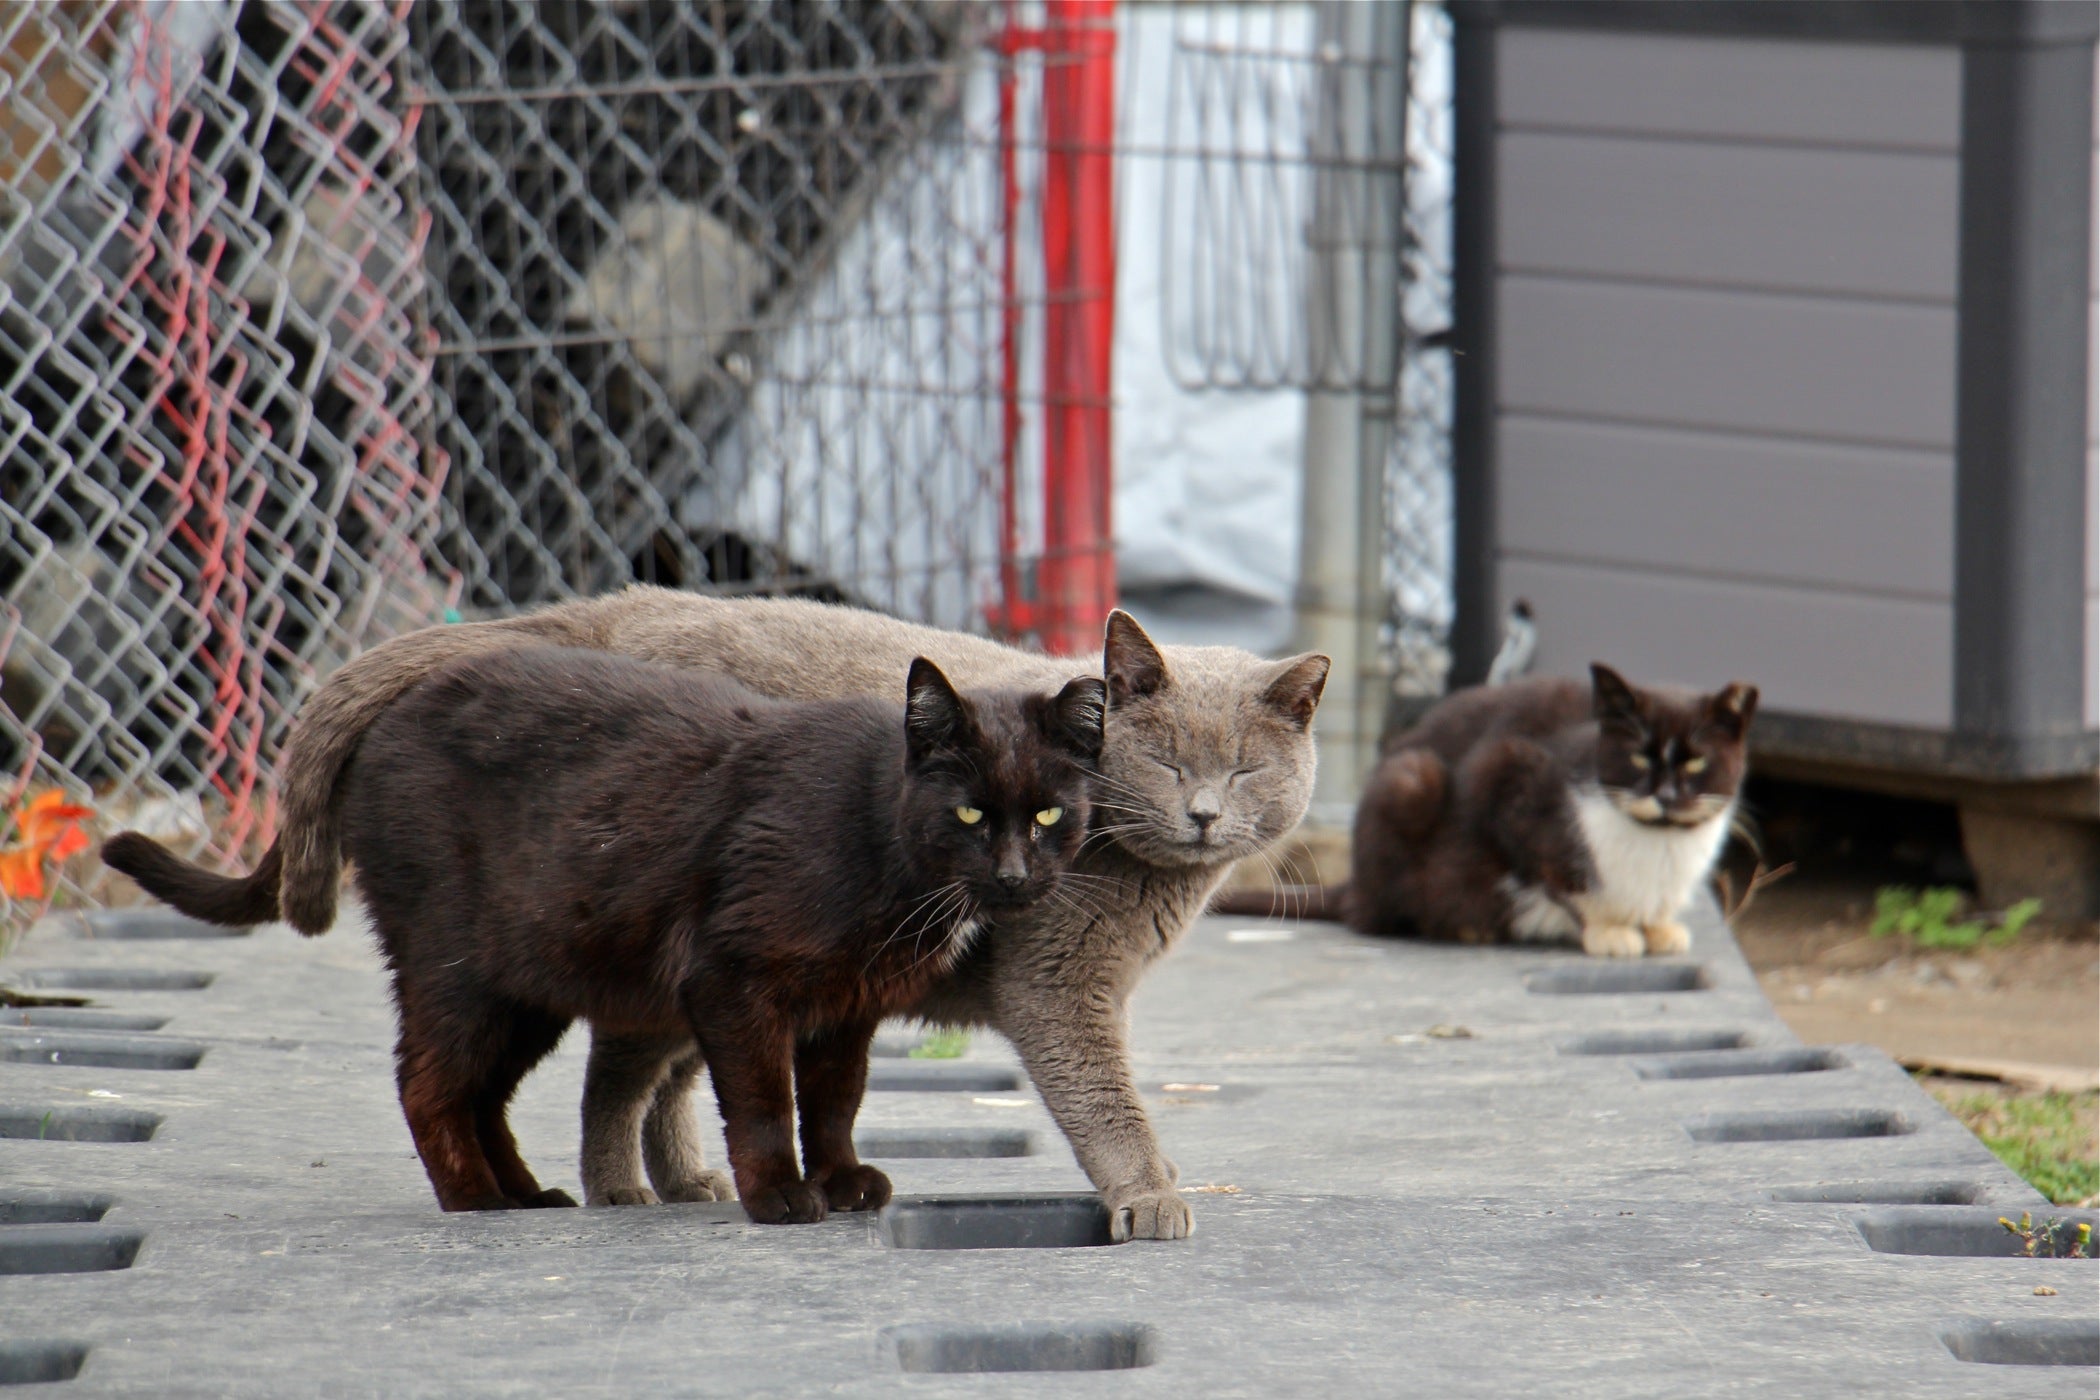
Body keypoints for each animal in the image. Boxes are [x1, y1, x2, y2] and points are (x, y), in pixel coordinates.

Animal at [266, 587, 1327, 1234]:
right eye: (1167, 763)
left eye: (1245, 770)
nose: (1204, 813)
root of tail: (605, 611)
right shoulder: (1057, 985)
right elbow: (1105, 1099)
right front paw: (1150, 1194)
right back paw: (616, 1187)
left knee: (628, 1067)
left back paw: (658, 1181)